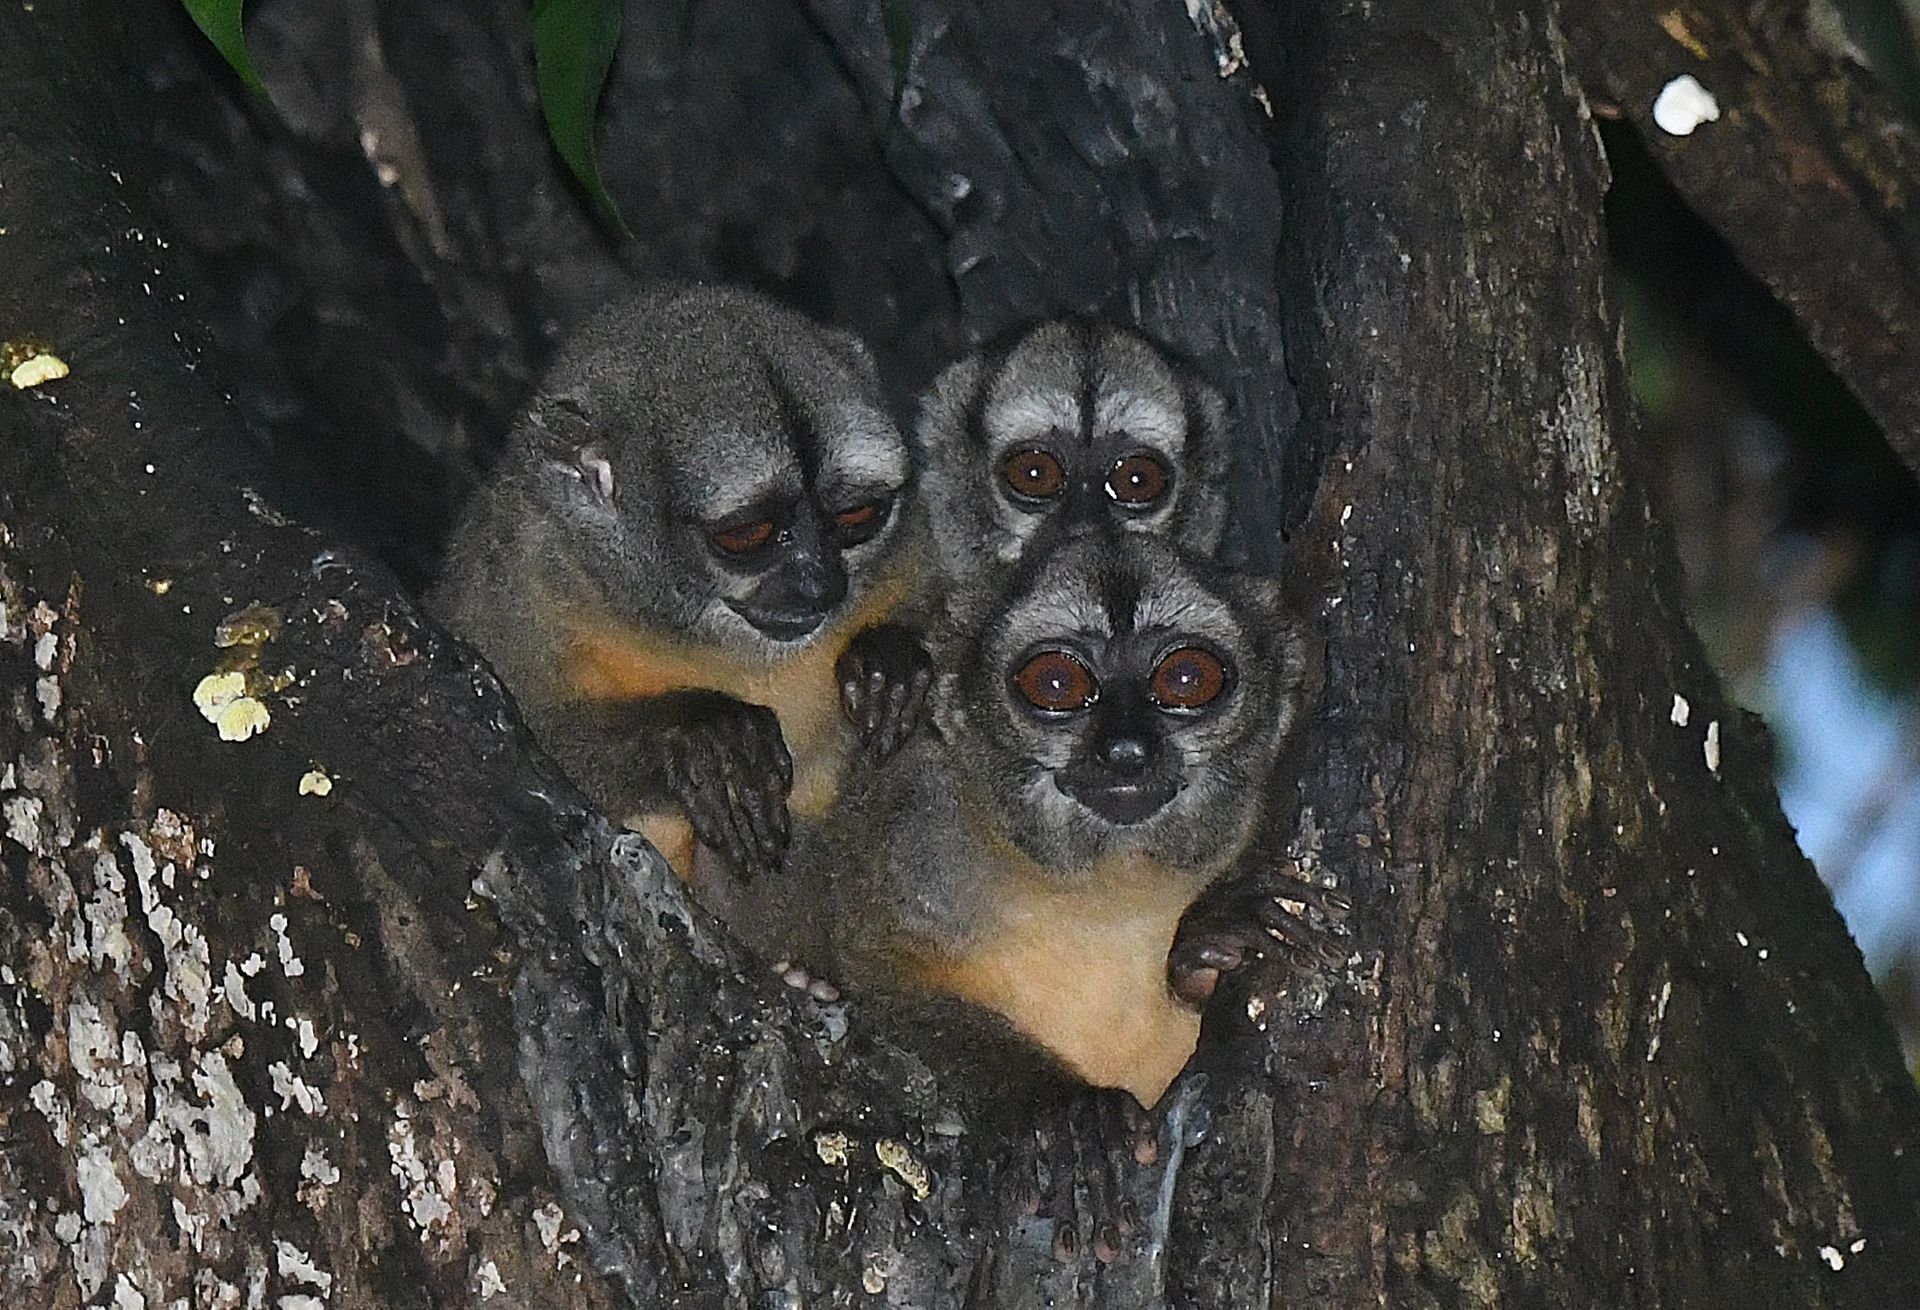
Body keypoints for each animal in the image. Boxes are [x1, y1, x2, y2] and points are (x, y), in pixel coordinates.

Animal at [429, 283, 922, 887]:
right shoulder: (518, 584)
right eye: (746, 534)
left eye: (857, 515)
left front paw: (888, 664)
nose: (820, 586)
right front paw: (704, 737)